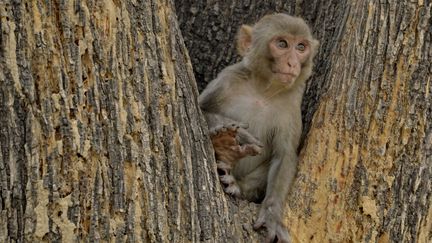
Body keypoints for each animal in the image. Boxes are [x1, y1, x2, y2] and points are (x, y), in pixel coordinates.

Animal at [198, 13, 318, 243]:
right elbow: (199, 107)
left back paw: (236, 181)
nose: (292, 63)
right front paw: (236, 132)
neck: (263, 90)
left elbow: (284, 156)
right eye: (282, 44)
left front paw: (272, 214)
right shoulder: (228, 78)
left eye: (301, 47)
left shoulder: (292, 102)